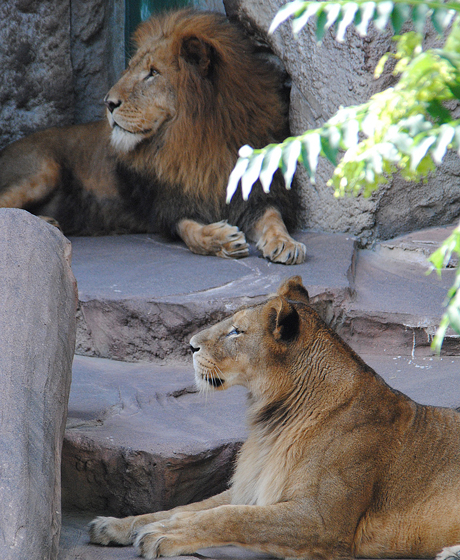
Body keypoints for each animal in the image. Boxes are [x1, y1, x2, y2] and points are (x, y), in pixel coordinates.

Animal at [0, 10, 310, 264]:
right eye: (132, 68)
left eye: (153, 73)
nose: (108, 102)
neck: (201, 139)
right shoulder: (169, 206)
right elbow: (191, 232)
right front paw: (221, 239)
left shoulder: (258, 192)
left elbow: (273, 218)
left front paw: (285, 243)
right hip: (43, 170)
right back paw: (45, 223)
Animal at [89, 276, 460, 560]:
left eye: (236, 332)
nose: (190, 345)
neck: (272, 419)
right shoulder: (253, 485)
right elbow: (188, 507)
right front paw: (118, 524)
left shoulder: (322, 520)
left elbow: (229, 517)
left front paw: (164, 535)